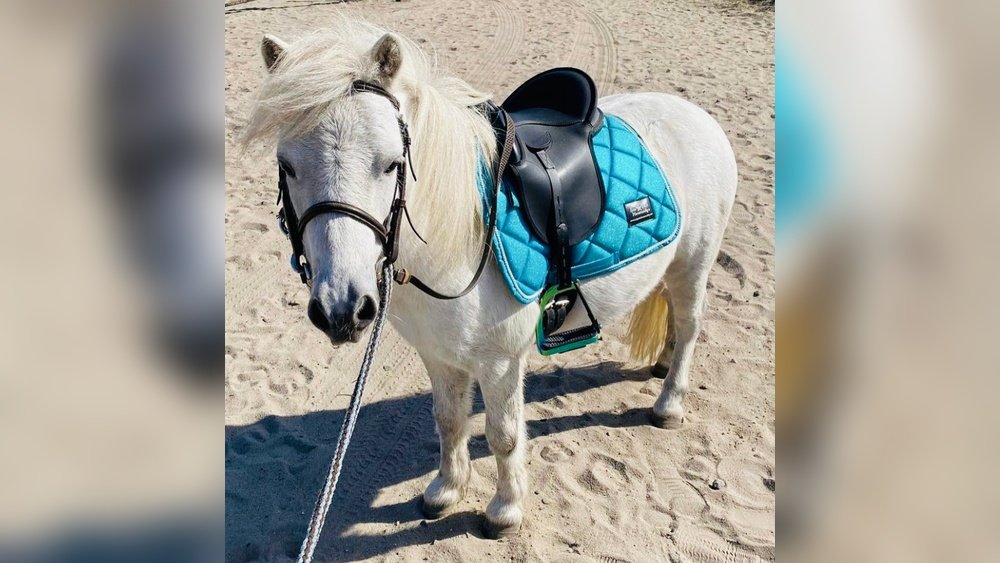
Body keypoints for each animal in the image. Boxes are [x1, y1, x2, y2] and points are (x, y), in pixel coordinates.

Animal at [241, 19, 737, 539]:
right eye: (287, 165)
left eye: (391, 163)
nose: (342, 309)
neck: (454, 239)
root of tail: (692, 112)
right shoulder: (437, 353)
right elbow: (448, 419)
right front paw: (446, 490)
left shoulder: (500, 360)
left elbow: (503, 435)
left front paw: (505, 509)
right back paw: (661, 365)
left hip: (694, 264)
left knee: (690, 326)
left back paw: (669, 402)